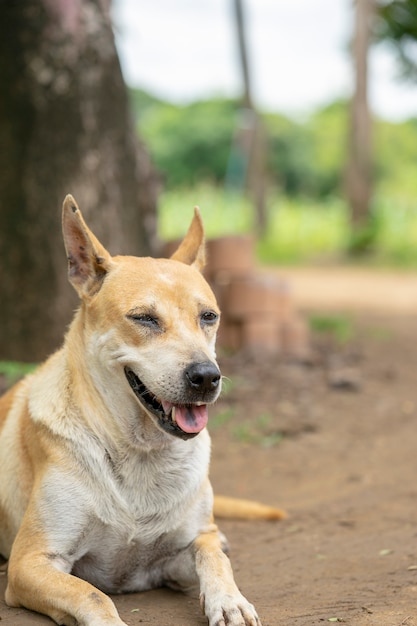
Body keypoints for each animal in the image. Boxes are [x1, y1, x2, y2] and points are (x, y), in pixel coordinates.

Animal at [0, 196, 282, 624]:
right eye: (145, 318)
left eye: (209, 316)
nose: (206, 377)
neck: (141, 453)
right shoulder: (31, 562)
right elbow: (94, 596)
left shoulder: (177, 553)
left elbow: (212, 555)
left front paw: (230, 599)